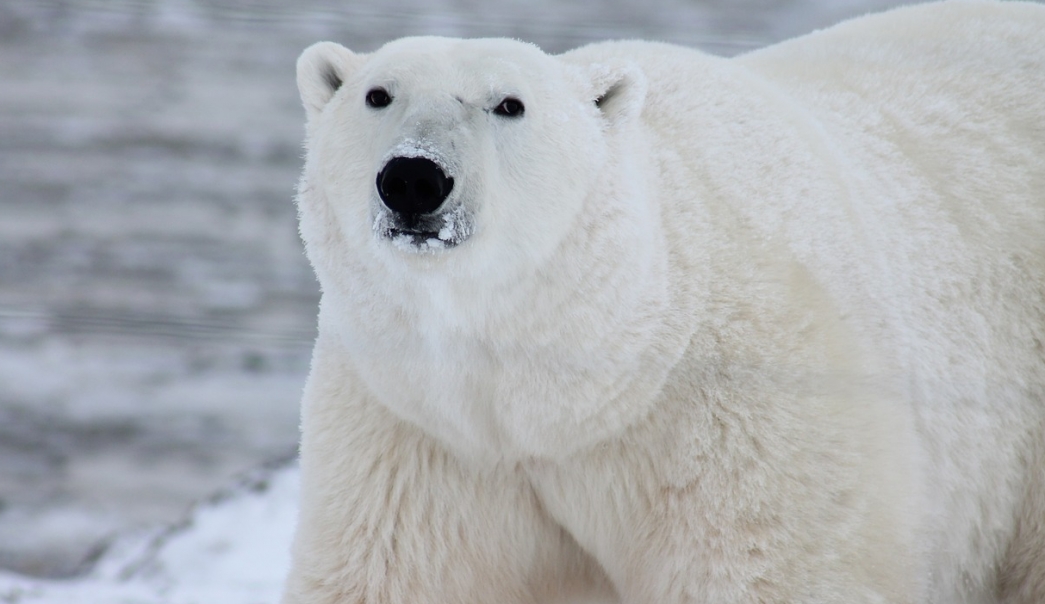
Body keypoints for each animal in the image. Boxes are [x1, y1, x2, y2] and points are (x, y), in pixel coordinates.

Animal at [280, 2, 1045, 597]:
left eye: (509, 104)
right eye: (378, 94)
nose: (413, 178)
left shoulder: (741, 415)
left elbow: (768, 570)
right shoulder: (418, 430)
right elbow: (395, 573)